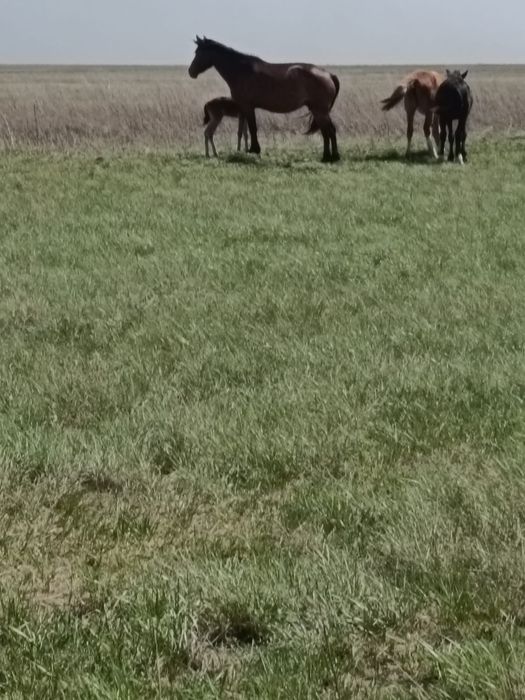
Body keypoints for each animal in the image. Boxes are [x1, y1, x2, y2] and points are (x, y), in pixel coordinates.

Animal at [188, 36, 341, 162]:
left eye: (198, 52)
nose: (191, 72)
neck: (241, 70)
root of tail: (328, 74)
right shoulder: (245, 109)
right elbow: (247, 130)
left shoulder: (247, 106)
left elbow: (252, 129)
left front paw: (254, 150)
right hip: (318, 111)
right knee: (327, 131)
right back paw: (328, 156)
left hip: (320, 111)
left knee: (329, 131)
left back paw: (331, 157)